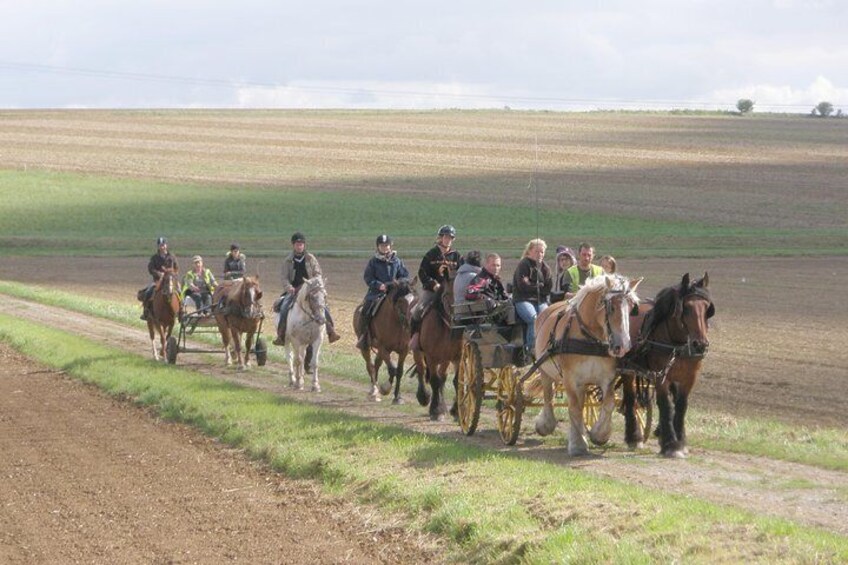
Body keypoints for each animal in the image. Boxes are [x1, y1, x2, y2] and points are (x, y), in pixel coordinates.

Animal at [532, 276, 640, 456]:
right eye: (611, 307)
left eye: (632, 306)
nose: (623, 346)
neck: (590, 339)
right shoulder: (570, 379)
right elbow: (574, 408)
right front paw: (578, 444)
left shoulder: (607, 378)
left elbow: (608, 404)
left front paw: (599, 435)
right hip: (545, 370)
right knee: (548, 397)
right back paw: (546, 424)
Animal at [620, 270, 712, 456]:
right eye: (686, 308)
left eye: (707, 309)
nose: (700, 345)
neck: (677, 343)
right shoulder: (660, 376)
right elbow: (665, 405)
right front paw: (671, 444)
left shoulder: (690, 377)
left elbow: (681, 405)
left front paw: (680, 440)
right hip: (628, 369)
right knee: (630, 397)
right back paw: (634, 437)